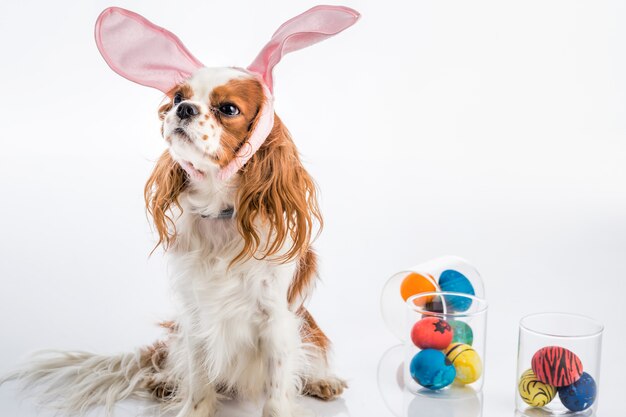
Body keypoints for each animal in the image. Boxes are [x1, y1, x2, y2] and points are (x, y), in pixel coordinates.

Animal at [0, 5, 358, 416]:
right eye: (176, 98)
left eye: (228, 108)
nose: (183, 109)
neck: (222, 214)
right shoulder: (196, 314)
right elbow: (199, 378)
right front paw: (194, 407)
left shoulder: (276, 321)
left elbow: (277, 388)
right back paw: (162, 380)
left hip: (307, 325)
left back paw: (323, 380)